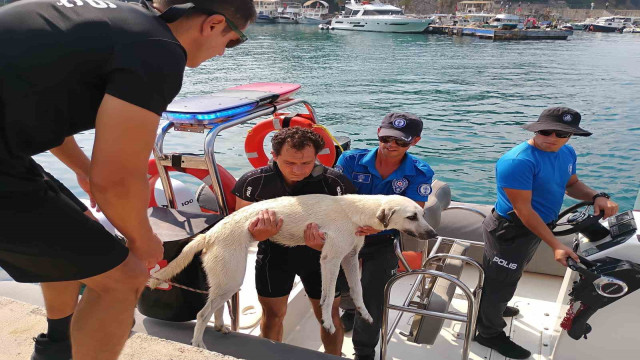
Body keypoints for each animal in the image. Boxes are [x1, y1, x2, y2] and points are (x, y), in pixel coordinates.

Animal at [150, 194, 440, 348]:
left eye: (422, 214)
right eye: (412, 217)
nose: (434, 234)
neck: (355, 211)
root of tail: (210, 234)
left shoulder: (350, 258)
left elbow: (357, 291)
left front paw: (366, 314)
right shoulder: (331, 259)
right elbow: (326, 298)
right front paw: (327, 323)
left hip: (227, 280)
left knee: (216, 308)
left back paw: (220, 327)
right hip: (231, 277)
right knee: (202, 314)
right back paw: (198, 345)